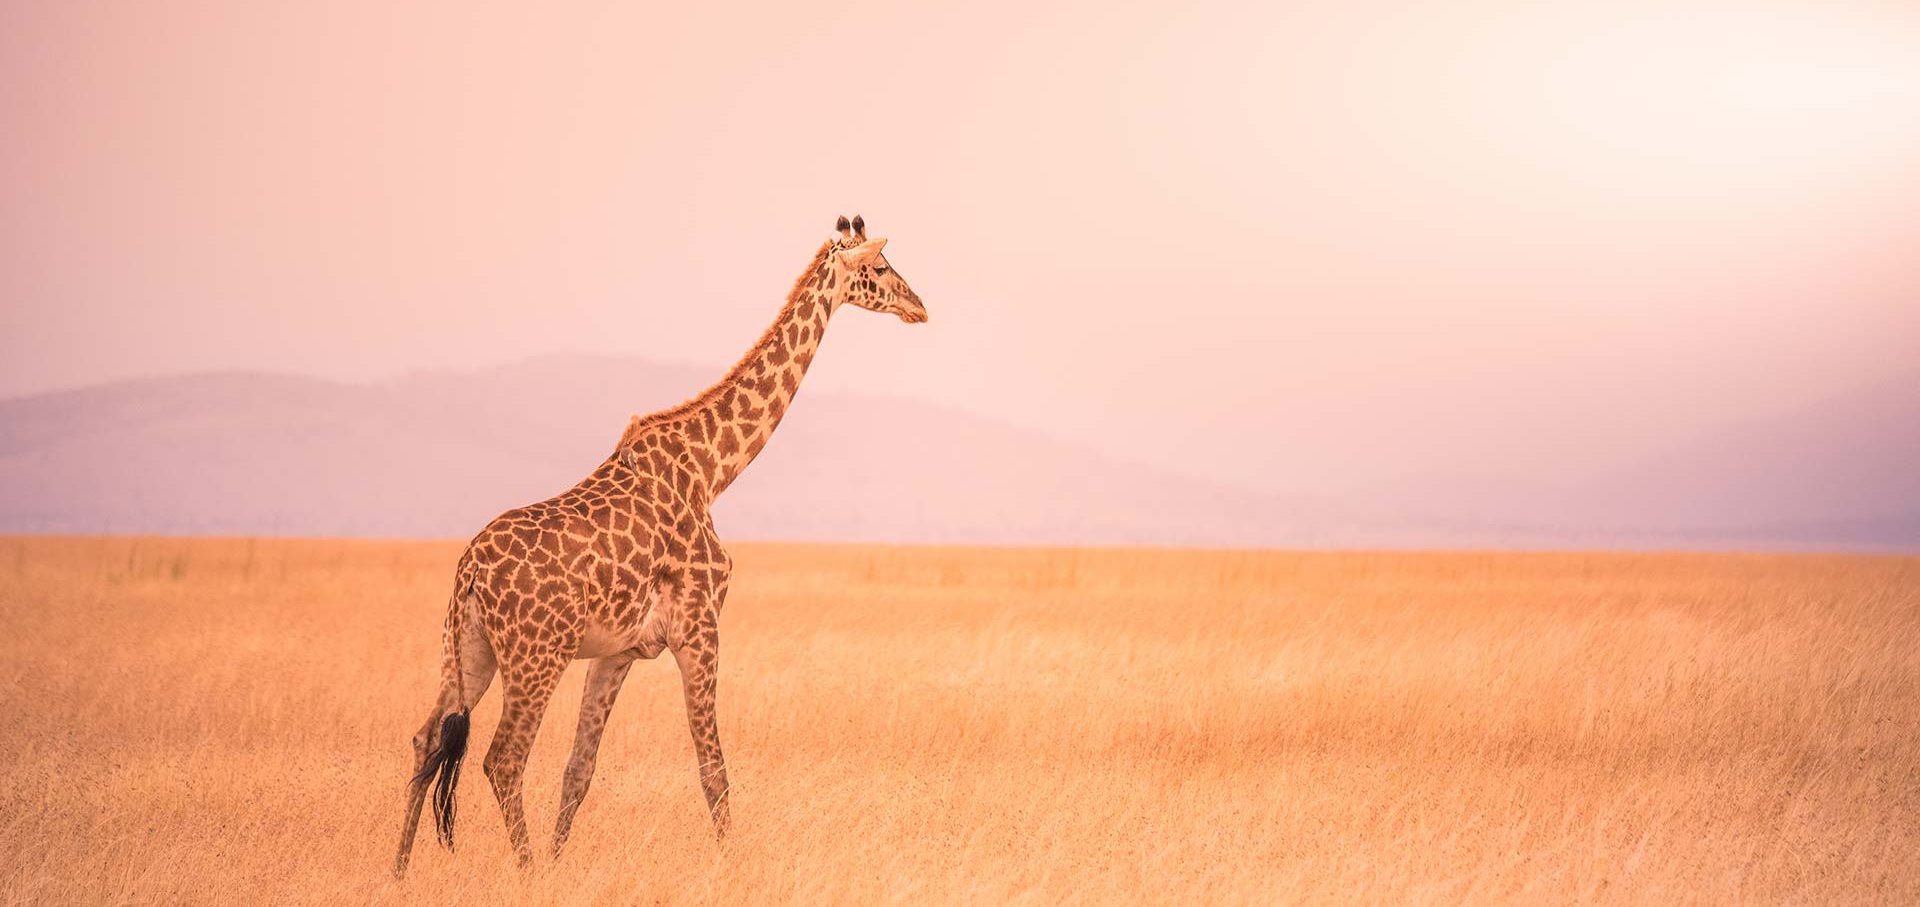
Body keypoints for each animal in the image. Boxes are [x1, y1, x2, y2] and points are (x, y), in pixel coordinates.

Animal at [393, 216, 925, 876]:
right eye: (879, 268)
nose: (919, 306)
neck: (713, 469)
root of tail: (469, 571)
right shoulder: (699, 628)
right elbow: (713, 770)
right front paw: (732, 865)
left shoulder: (616, 651)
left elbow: (579, 770)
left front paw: (562, 863)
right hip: (536, 656)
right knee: (502, 759)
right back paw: (525, 873)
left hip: (467, 648)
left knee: (425, 740)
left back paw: (400, 873)